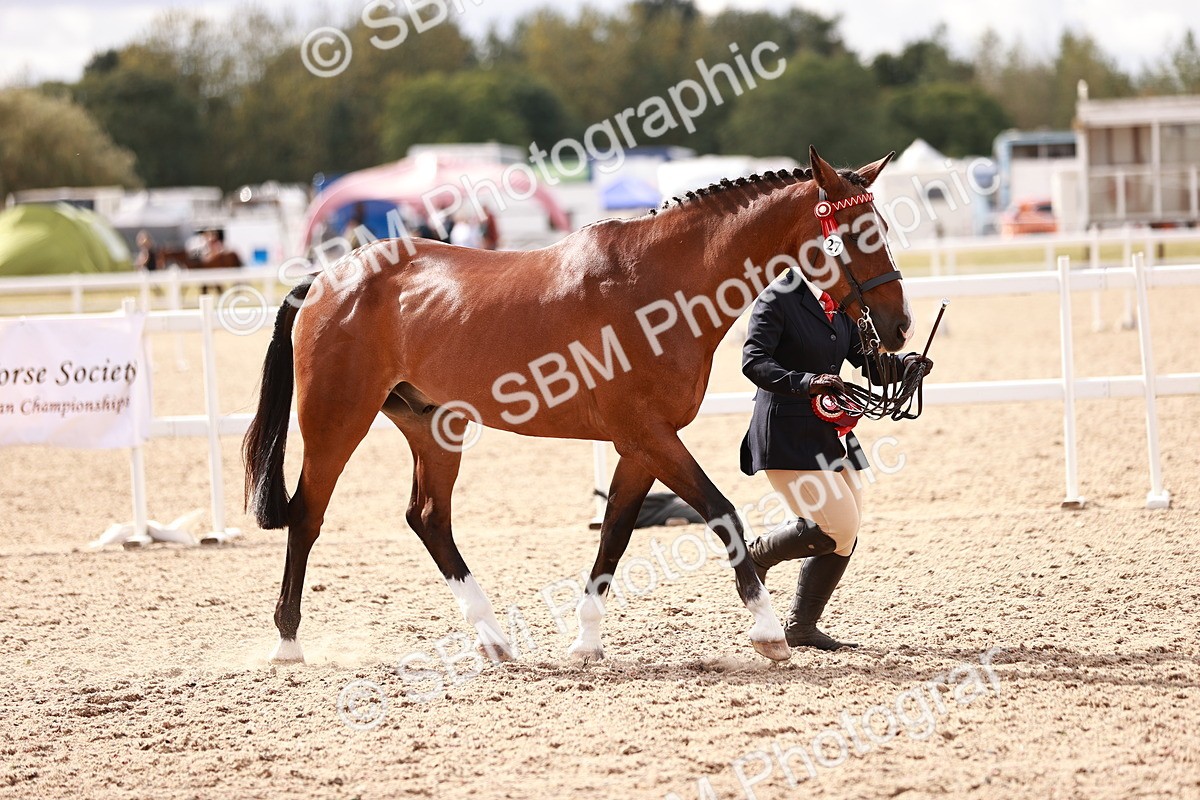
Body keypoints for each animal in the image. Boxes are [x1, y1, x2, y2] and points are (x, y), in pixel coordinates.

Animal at [242, 146, 912, 665]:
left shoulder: (641, 445)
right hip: (336, 422)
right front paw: (769, 633)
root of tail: (327, 278)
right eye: (857, 234)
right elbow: (724, 514)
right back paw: (287, 645)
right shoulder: (648, 436)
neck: (658, 287)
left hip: (433, 427)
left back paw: (495, 642)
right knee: (308, 515)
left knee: (428, 518)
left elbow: (614, 534)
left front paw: (587, 641)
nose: (899, 326)